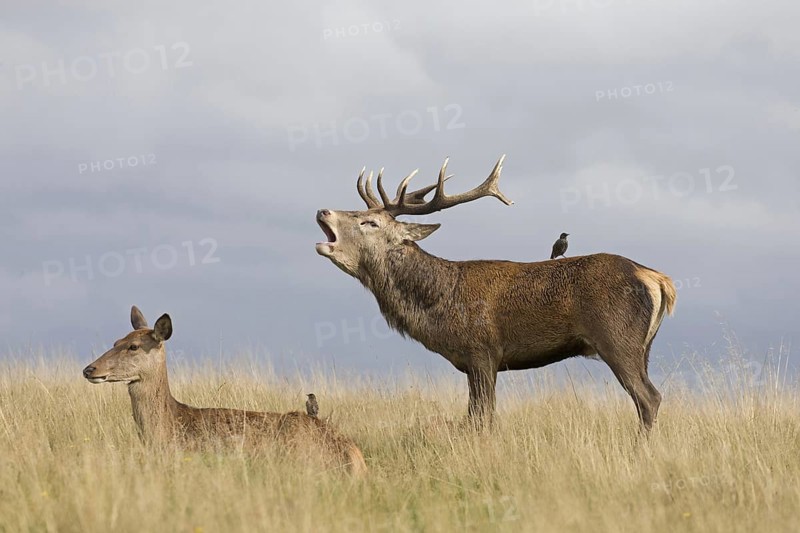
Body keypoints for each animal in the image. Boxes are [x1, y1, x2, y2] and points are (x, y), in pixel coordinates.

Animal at [315, 155, 676, 431]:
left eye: (370, 223)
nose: (322, 211)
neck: (439, 305)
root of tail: (655, 278)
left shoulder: (482, 350)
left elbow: (482, 416)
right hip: (644, 346)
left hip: (617, 338)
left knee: (648, 397)